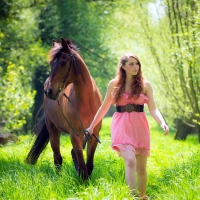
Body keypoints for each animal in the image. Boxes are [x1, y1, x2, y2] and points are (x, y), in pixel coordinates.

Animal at [25, 37, 102, 180]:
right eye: (51, 63)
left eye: (63, 63)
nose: (49, 91)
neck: (86, 101)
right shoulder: (75, 135)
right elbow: (82, 165)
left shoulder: (93, 134)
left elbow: (88, 164)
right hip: (53, 132)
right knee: (57, 158)